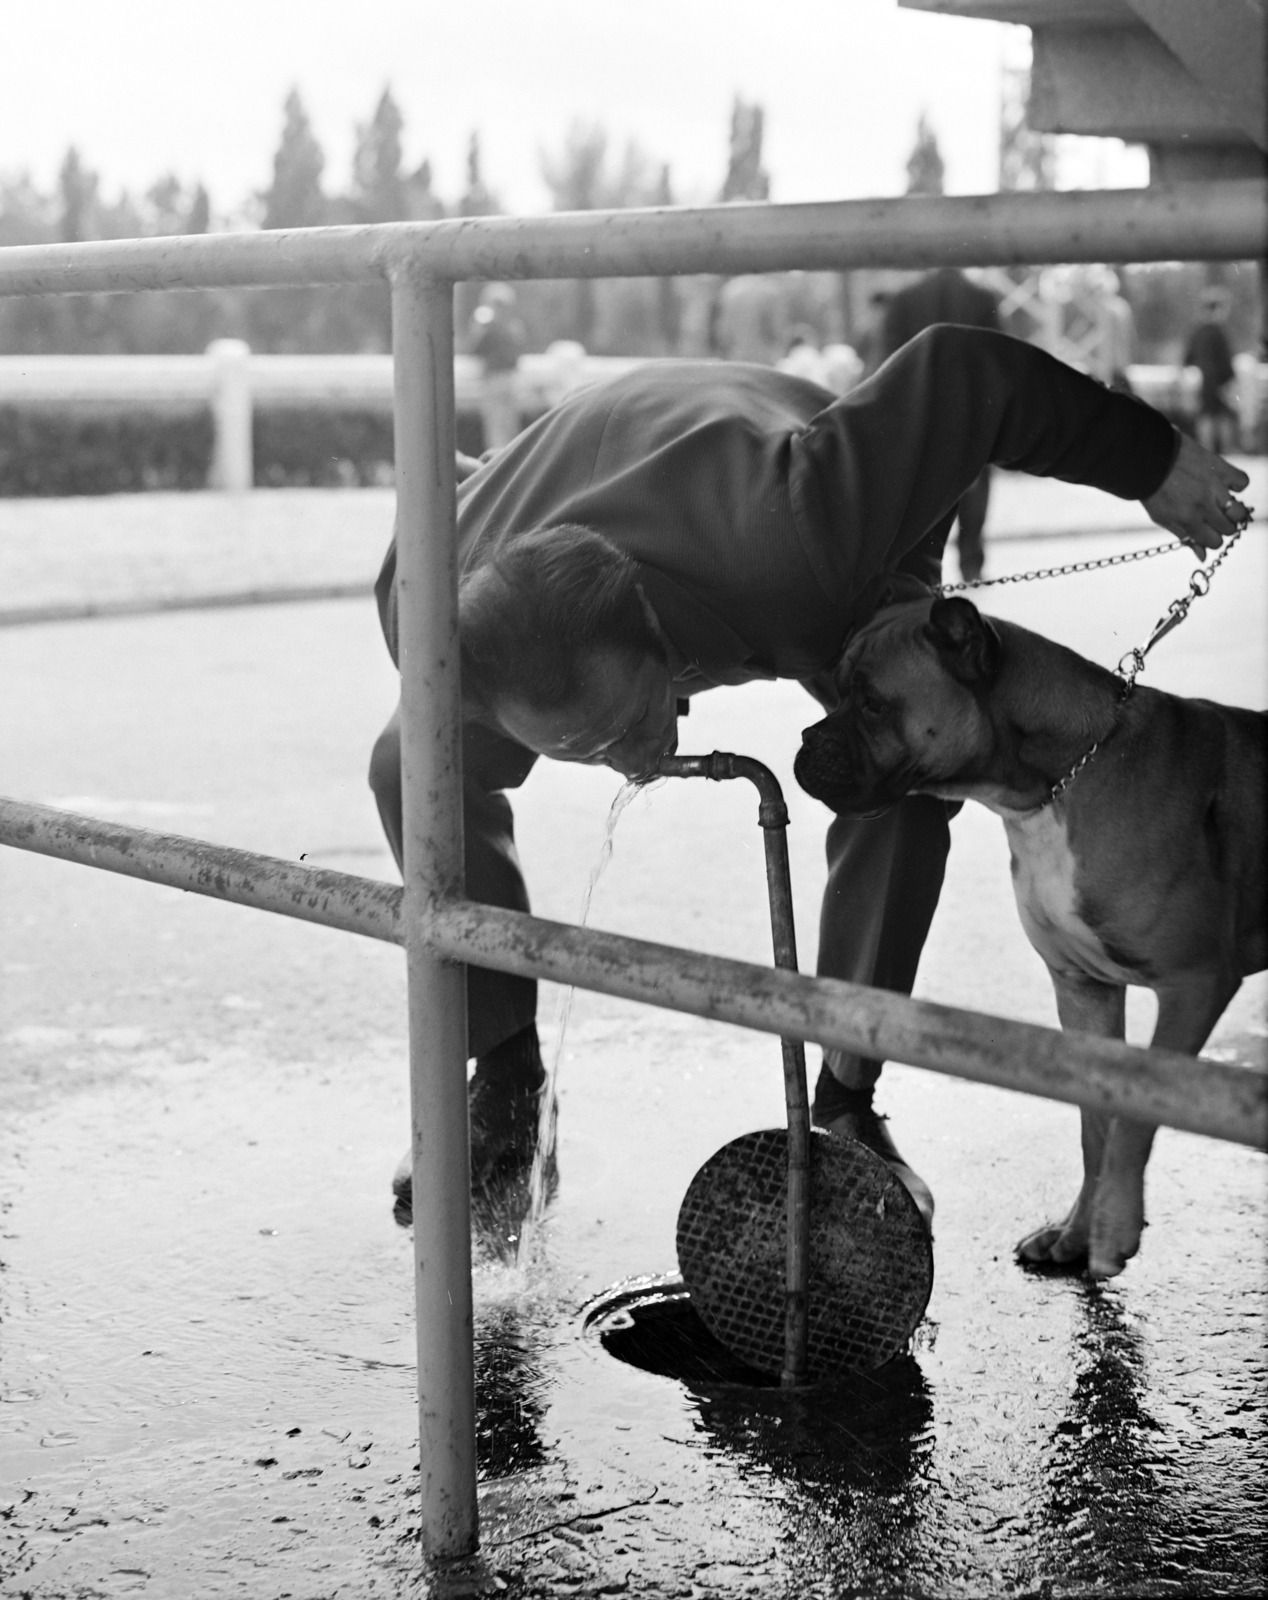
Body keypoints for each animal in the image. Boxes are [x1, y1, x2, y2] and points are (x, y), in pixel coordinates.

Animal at [797, 595, 1261, 1280]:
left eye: (873, 703)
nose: (805, 741)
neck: (1055, 786)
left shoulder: (1194, 984)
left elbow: (1137, 1112)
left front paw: (1114, 1227)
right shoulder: (1084, 990)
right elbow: (1095, 1123)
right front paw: (1076, 1230)